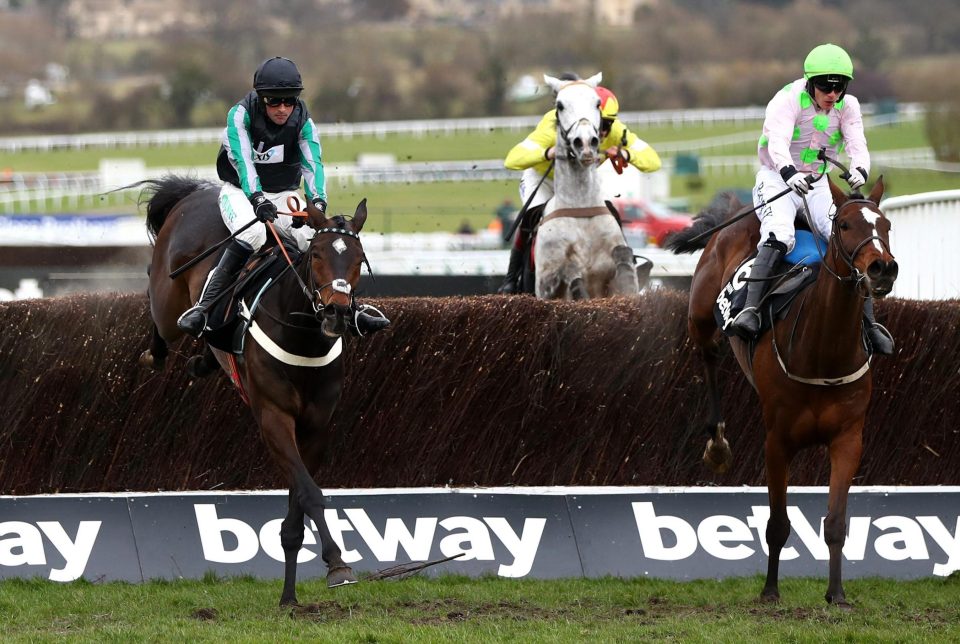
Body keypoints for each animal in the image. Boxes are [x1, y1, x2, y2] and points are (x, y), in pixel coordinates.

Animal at [139, 175, 368, 604]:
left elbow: (298, 505)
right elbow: (310, 493)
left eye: (358, 258)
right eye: (316, 255)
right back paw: (160, 349)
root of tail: (196, 191)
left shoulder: (315, 427)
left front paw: (291, 596)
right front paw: (338, 562)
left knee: (208, 343)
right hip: (167, 300)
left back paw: (204, 360)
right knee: (161, 313)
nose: (337, 311)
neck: (303, 338)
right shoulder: (273, 418)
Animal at [532, 73, 636, 300]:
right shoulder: (544, 284)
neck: (579, 205)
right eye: (560, 105)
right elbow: (568, 271)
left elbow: (623, 259)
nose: (586, 142)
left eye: (596, 103)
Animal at [664, 177, 896, 608]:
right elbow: (776, 523)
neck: (823, 352)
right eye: (845, 225)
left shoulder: (848, 439)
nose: (882, 268)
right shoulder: (777, 441)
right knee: (708, 352)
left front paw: (836, 594)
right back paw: (717, 443)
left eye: (886, 225)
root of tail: (736, 215)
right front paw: (770, 590)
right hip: (700, 313)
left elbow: (835, 523)